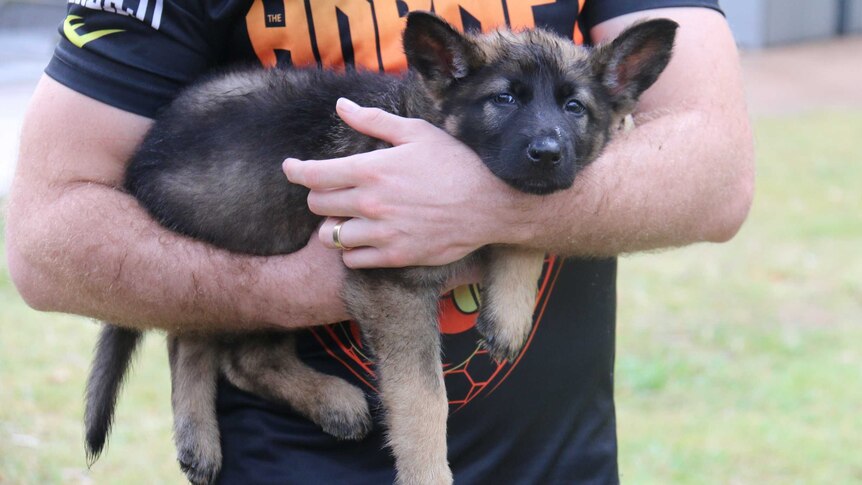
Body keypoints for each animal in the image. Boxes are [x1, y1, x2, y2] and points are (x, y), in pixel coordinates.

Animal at [84, 11, 680, 484]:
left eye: (574, 108)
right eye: (504, 99)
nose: (548, 152)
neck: (425, 115)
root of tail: (139, 166)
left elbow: (520, 223)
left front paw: (509, 314)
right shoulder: (393, 287)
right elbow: (423, 401)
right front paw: (428, 475)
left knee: (222, 349)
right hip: (254, 241)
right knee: (202, 342)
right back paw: (248, 420)